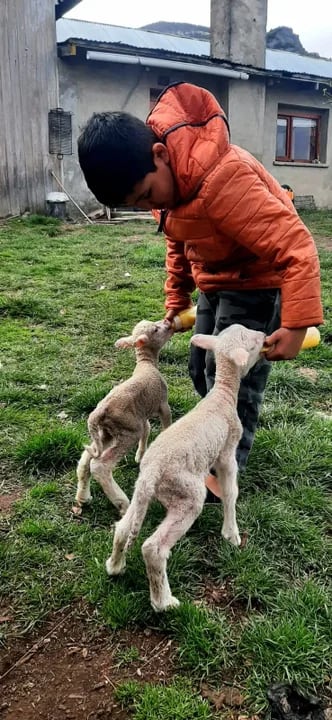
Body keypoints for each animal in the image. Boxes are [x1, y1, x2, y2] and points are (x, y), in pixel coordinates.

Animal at [75, 320, 174, 516]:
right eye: (156, 329)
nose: (168, 323)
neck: (146, 363)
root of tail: (98, 413)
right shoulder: (163, 404)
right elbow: (166, 423)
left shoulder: (141, 415)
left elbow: (147, 430)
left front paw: (141, 455)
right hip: (127, 431)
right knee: (100, 466)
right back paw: (123, 504)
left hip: (108, 432)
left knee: (85, 459)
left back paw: (83, 497)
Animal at [106, 324, 264, 612]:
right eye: (252, 343)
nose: (266, 337)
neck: (223, 394)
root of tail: (152, 472)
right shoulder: (227, 452)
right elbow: (231, 492)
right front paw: (232, 534)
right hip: (187, 494)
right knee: (153, 548)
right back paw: (164, 602)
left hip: (141, 492)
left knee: (123, 527)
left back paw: (115, 566)